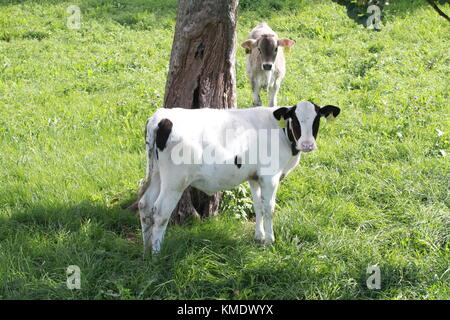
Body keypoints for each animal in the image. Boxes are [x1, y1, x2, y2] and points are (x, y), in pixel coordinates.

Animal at [139, 101, 340, 254]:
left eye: (316, 120)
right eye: (295, 120)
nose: (307, 144)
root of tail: (160, 117)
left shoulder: (254, 177)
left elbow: (258, 206)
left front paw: (259, 237)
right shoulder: (270, 176)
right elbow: (269, 208)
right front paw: (270, 240)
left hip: (156, 174)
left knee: (144, 205)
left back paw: (146, 249)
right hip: (174, 182)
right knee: (160, 212)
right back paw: (157, 254)